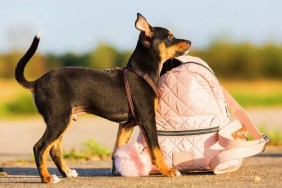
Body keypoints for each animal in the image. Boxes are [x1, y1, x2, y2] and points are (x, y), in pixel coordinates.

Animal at [15, 12, 192, 182]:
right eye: (169, 36)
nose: (190, 42)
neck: (142, 73)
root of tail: (37, 82)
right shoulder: (147, 119)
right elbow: (155, 149)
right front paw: (168, 171)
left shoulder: (127, 124)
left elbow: (118, 149)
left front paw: (119, 170)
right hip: (59, 120)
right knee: (40, 147)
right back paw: (46, 178)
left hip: (62, 121)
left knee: (54, 149)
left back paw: (67, 173)